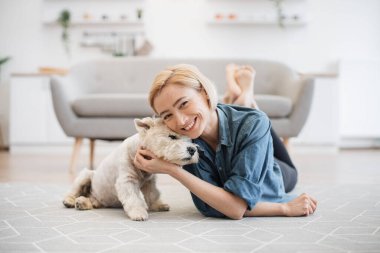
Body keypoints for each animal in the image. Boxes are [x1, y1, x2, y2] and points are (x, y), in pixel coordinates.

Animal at [62, 117, 199, 220]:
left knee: (93, 202)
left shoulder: (149, 181)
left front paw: (158, 205)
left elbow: (153, 194)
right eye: (172, 136)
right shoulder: (126, 180)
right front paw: (139, 213)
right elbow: (133, 198)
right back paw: (70, 201)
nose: (192, 150)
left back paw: (83, 203)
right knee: (74, 190)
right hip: (86, 175)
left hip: (97, 197)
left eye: (189, 139)